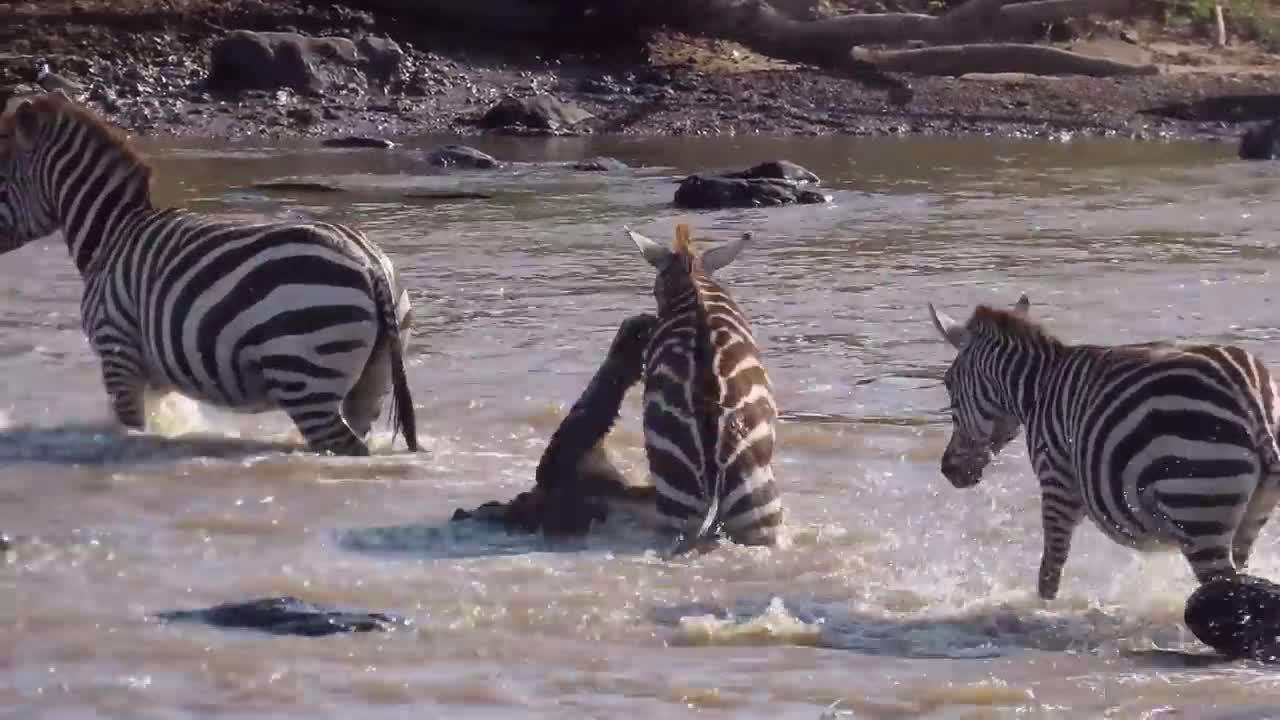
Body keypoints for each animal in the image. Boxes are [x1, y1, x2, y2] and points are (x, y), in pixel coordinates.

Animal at [0, 89, 417, 453]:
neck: (111, 234)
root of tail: (368, 262)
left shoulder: (116, 349)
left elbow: (131, 428)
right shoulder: (155, 371)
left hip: (304, 370)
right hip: (373, 375)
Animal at [931, 294, 1280, 597]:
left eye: (948, 382)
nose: (948, 470)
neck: (1038, 388)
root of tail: (1251, 392)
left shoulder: (1057, 481)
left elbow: (1050, 568)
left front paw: (1040, 610)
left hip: (1196, 501)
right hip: (1249, 511)